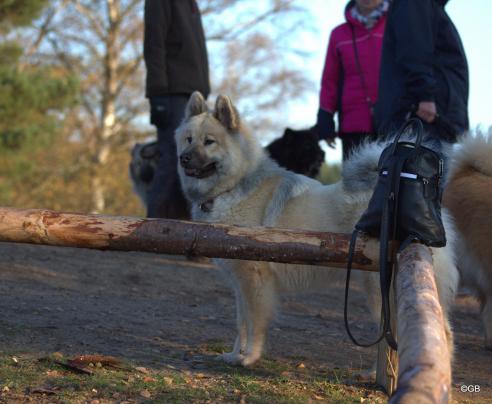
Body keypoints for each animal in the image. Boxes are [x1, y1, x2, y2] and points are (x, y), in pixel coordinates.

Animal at [177, 91, 462, 366]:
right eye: (188, 139)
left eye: (209, 142)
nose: (183, 158)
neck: (234, 186)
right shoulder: (239, 283)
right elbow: (241, 323)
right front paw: (235, 354)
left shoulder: (253, 279)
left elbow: (254, 323)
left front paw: (249, 358)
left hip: (381, 290)